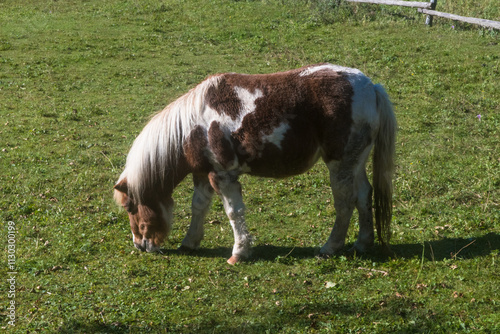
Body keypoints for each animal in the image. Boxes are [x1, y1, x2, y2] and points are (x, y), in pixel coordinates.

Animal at [115, 63, 396, 264]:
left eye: (130, 207)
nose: (140, 245)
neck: (192, 126)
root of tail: (371, 87)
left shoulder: (223, 176)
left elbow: (233, 212)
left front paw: (239, 253)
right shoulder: (203, 174)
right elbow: (199, 207)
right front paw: (190, 242)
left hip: (340, 164)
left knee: (345, 202)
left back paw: (330, 247)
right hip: (355, 162)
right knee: (364, 195)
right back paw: (363, 243)